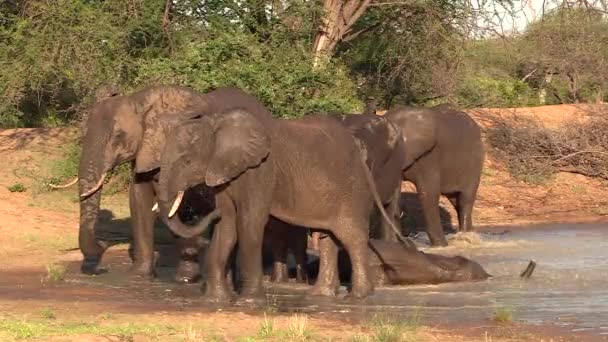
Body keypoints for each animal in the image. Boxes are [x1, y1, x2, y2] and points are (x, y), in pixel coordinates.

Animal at [66, 85, 270, 280]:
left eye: (118, 136)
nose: (103, 243)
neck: (140, 102)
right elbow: (139, 199)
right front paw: (139, 275)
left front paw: (187, 274)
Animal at [154, 108, 408, 300]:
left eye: (187, 161)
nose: (202, 210)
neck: (217, 124)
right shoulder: (224, 173)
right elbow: (226, 227)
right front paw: (216, 300)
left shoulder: (261, 171)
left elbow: (249, 223)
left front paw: (249, 300)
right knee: (328, 237)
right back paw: (320, 295)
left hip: (352, 189)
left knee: (351, 236)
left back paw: (357, 296)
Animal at [384, 104, 484, 246]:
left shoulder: (429, 155)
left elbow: (428, 192)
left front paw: (441, 246)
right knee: (456, 201)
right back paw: (468, 237)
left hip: (475, 162)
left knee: (466, 199)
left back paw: (466, 239)